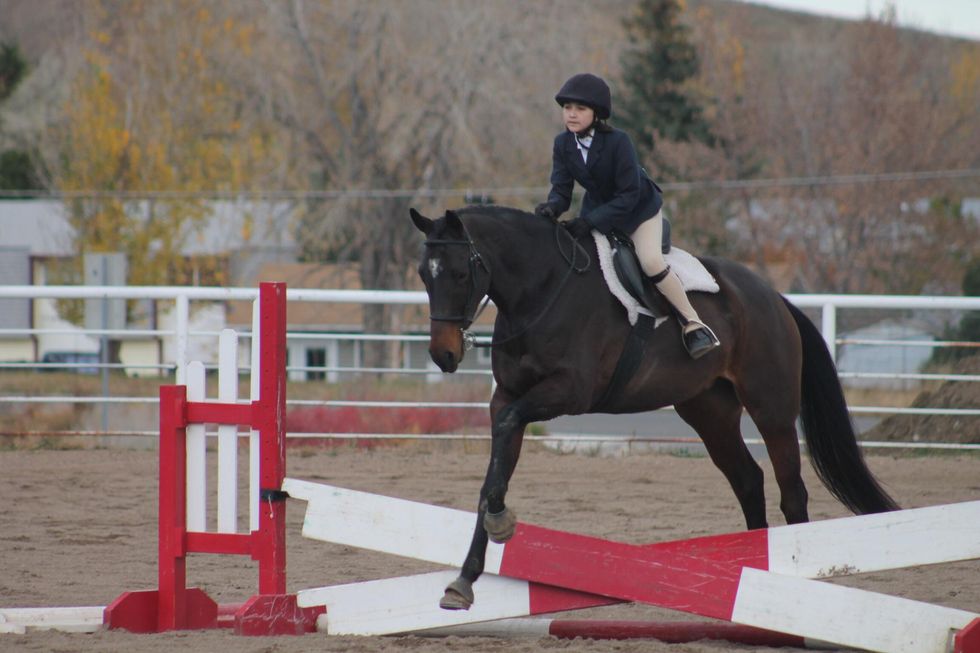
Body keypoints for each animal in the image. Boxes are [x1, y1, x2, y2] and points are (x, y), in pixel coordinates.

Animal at [409, 204, 898, 611]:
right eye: (423, 275)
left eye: (459, 273)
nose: (443, 356)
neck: (541, 290)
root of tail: (773, 297)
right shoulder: (506, 398)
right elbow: (493, 476)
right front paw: (465, 579)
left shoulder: (566, 392)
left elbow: (505, 446)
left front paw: (500, 525)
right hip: (708, 412)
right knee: (747, 480)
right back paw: (749, 572)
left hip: (771, 408)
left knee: (791, 490)